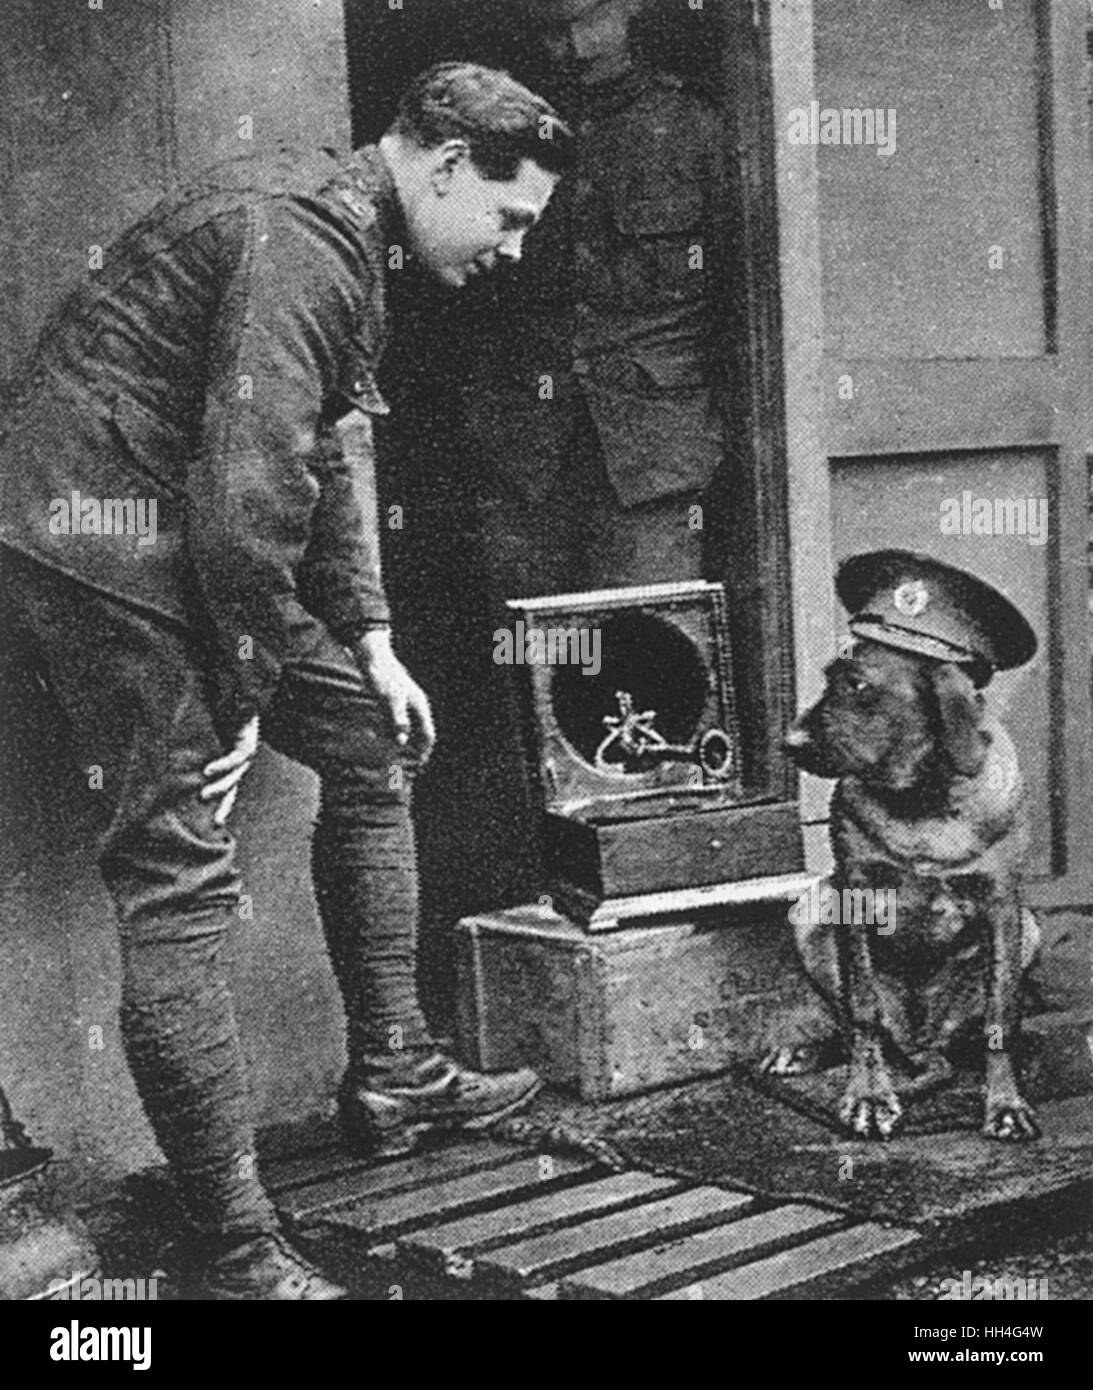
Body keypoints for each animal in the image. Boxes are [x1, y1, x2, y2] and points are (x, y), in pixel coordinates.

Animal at [767, 550, 1040, 1139]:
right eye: (830, 678)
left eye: (859, 686)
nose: (788, 743)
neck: (922, 799)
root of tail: (921, 1044)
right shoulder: (852, 896)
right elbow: (863, 1008)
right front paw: (868, 1095)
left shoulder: (1003, 906)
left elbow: (1001, 1017)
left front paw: (1005, 1103)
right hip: (809, 913)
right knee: (850, 1022)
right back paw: (806, 1051)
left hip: (1029, 929)